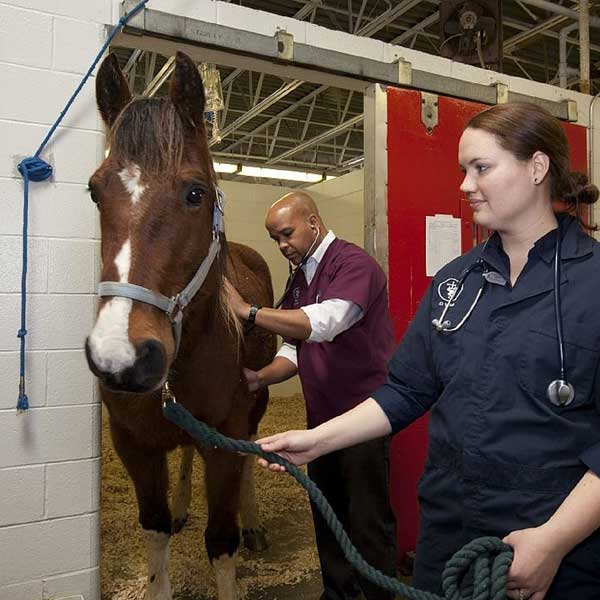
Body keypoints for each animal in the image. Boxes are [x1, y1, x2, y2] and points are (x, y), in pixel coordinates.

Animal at [85, 52, 276, 600]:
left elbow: (222, 541)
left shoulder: (225, 440)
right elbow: (155, 530)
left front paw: (239, 531)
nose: (121, 355)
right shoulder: (134, 444)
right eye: (94, 192)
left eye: (196, 192)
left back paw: (255, 523)